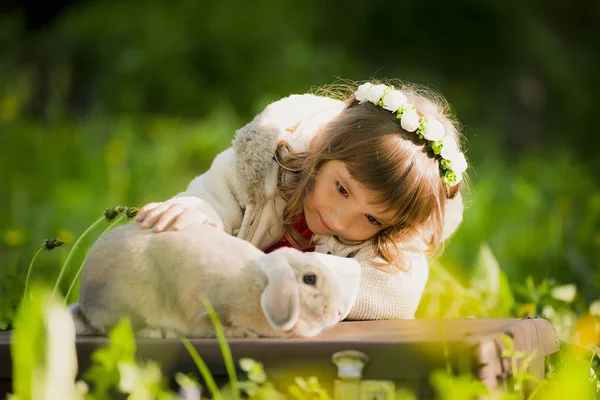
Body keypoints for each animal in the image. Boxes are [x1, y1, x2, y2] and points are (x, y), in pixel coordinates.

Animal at [70, 222, 360, 338]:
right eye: (310, 279)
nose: (337, 312)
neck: (257, 288)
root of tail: (86, 302)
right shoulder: (205, 306)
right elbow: (212, 324)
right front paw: (240, 332)